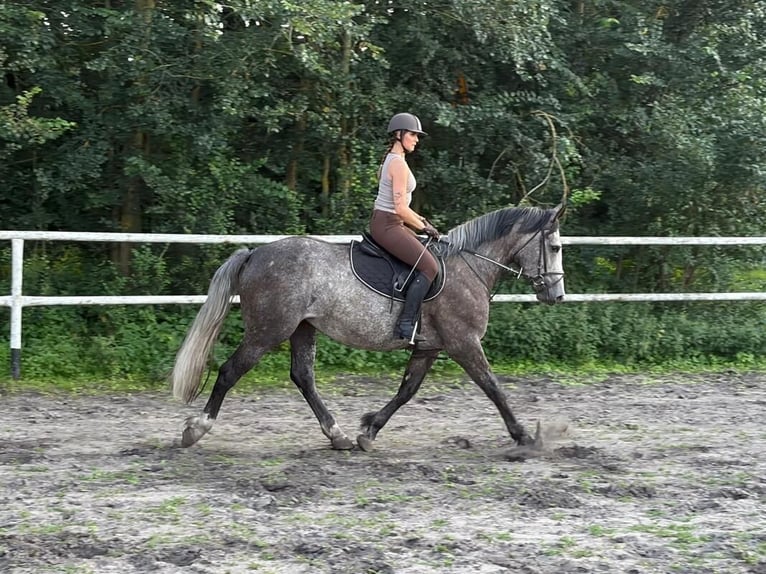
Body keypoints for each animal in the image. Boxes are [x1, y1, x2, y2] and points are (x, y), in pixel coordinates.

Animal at [171, 204, 566, 452]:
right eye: (555, 246)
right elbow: (494, 388)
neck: (469, 268)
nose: (557, 295)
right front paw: (525, 437)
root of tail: (254, 254)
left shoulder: (429, 347)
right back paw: (195, 430)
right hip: (269, 330)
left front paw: (370, 429)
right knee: (230, 371)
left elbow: (406, 391)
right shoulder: (464, 343)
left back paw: (339, 436)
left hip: (302, 328)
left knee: (303, 377)